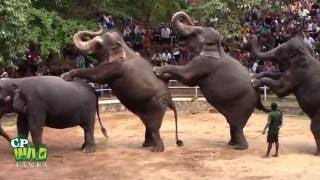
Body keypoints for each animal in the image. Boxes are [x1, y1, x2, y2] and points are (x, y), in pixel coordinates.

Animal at [154, 11, 268, 150]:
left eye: (197, 32)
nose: (191, 20)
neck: (219, 48)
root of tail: (258, 95)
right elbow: (187, 80)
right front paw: (162, 76)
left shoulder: (204, 63)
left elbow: (187, 77)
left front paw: (156, 70)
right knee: (232, 124)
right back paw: (231, 143)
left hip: (244, 105)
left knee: (237, 125)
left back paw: (239, 147)